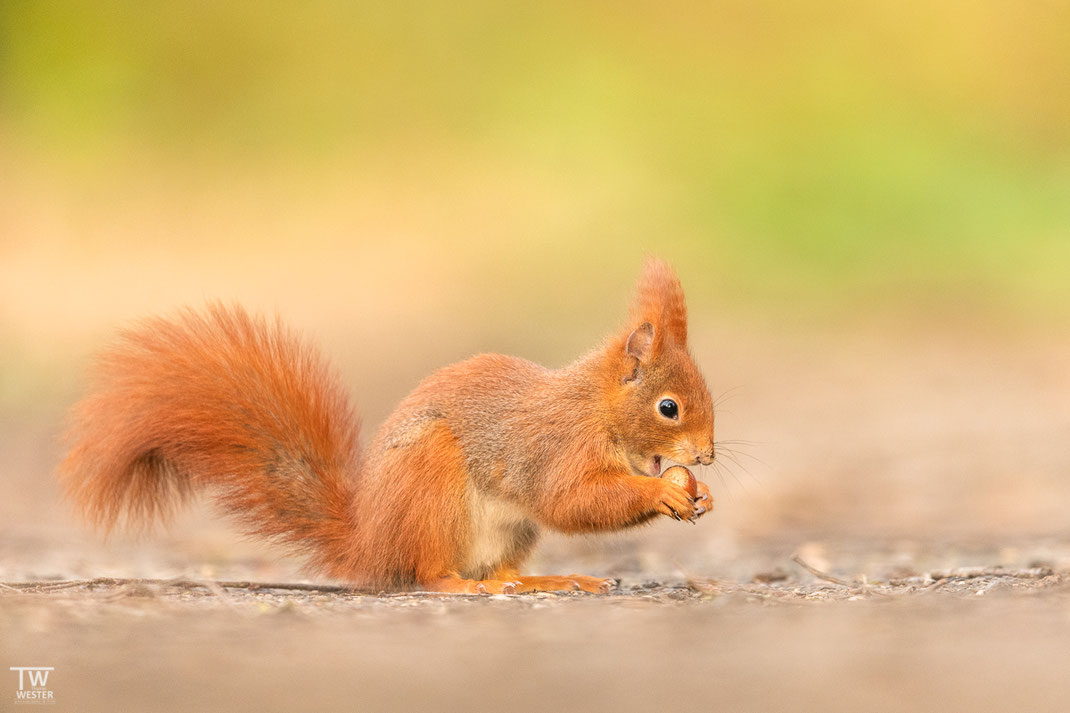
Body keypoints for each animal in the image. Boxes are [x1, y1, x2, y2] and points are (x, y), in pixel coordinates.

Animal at [58, 258, 714, 590]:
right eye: (669, 408)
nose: (706, 457)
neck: (596, 412)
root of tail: (370, 543)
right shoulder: (555, 448)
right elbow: (571, 500)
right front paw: (662, 492)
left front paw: (698, 493)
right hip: (431, 486)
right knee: (427, 575)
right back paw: (463, 585)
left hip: (510, 532)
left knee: (499, 569)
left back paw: (542, 582)